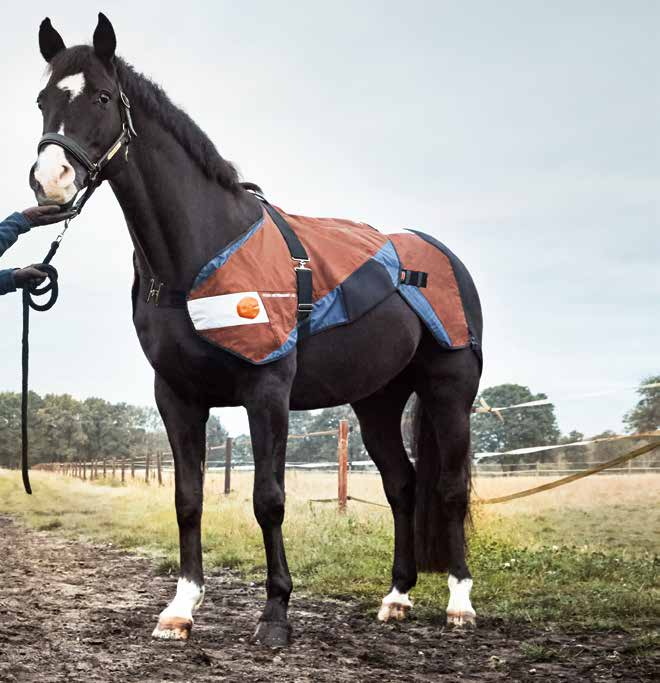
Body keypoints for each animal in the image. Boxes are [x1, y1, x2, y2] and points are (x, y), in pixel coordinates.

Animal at [29, 14, 483, 647]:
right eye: (43, 100)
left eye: (100, 97)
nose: (50, 181)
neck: (198, 253)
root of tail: (443, 258)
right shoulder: (177, 396)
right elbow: (187, 499)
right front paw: (180, 609)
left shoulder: (266, 390)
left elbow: (269, 499)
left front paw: (275, 614)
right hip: (378, 402)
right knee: (402, 486)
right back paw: (395, 597)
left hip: (449, 391)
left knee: (449, 487)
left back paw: (460, 602)